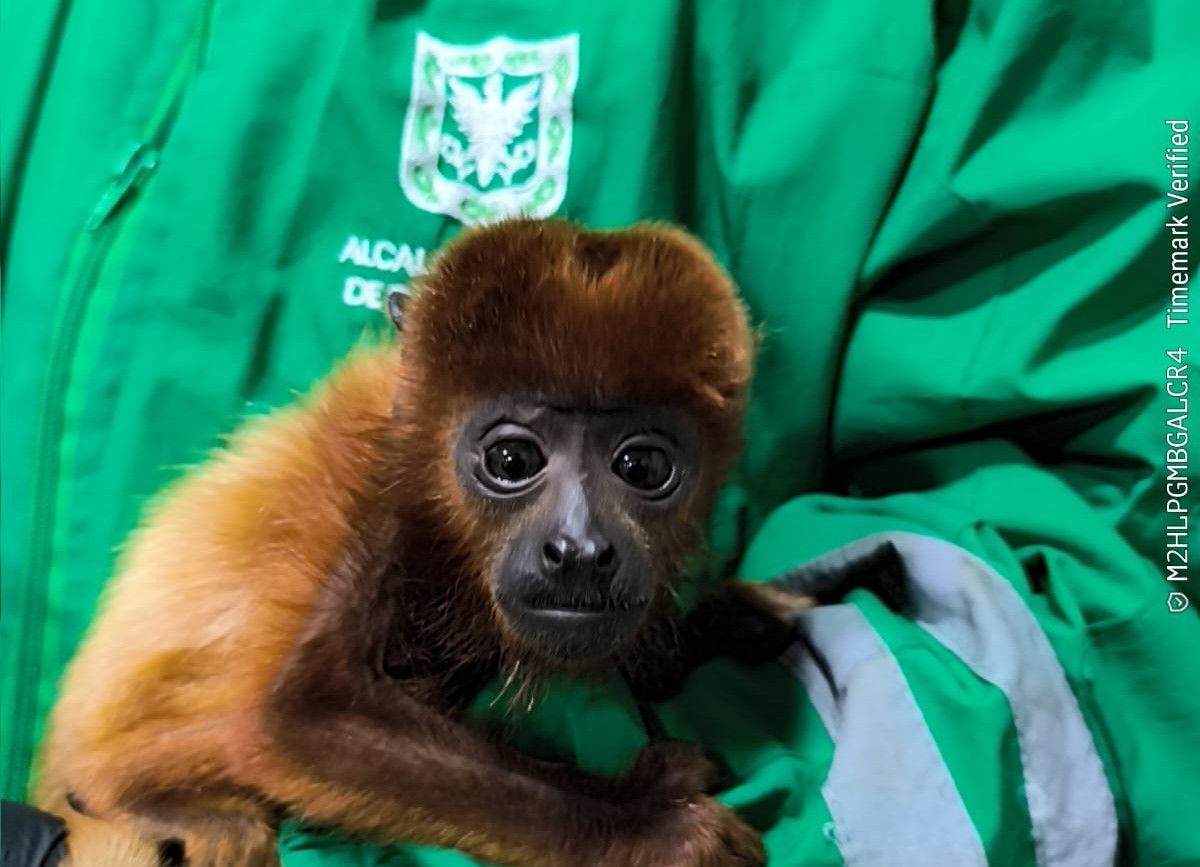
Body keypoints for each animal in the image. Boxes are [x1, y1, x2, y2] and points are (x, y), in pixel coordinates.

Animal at [32, 218, 809, 867]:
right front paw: (644, 823)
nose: (579, 550)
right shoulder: (376, 491)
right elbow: (305, 718)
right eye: (510, 460)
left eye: (642, 468)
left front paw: (721, 620)